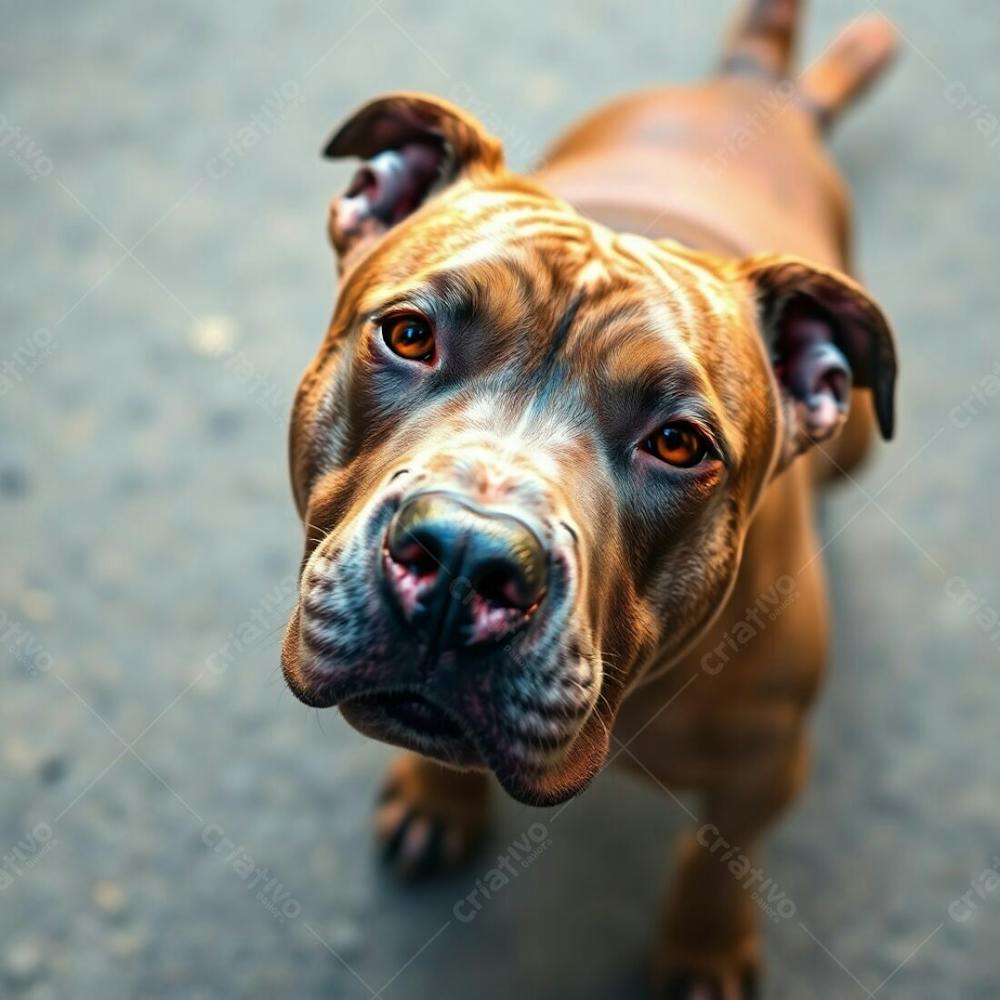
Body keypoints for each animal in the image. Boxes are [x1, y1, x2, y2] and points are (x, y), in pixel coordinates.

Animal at [280, 3, 900, 996]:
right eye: (408, 336)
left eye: (679, 444)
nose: (465, 559)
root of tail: (754, 85)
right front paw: (438, 798)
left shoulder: (767, 763)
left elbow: (720, 857)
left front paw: (704, 946)